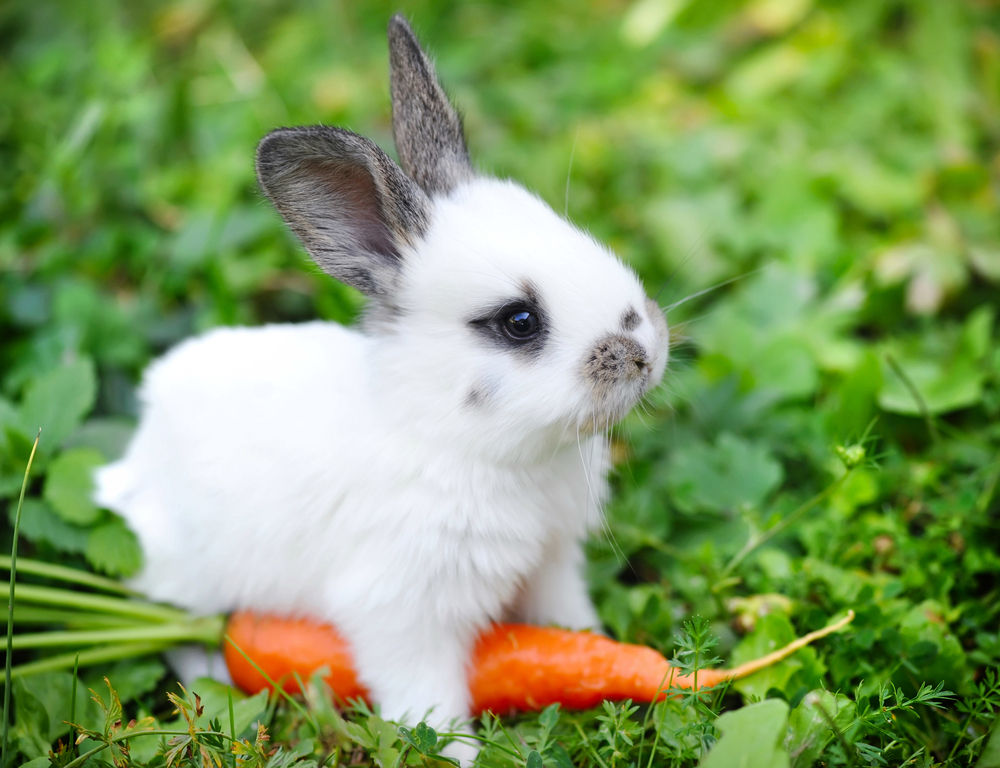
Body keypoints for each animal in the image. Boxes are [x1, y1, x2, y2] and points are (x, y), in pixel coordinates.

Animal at [94, 14, 668, 764]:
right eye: (518, 321)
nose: (645, 352)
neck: (463, 441)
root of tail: (134, 465)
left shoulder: (551, 564)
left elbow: (565, 626)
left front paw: (598, 651)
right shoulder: (404, 613)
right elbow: (430, 699)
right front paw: (458, 754)